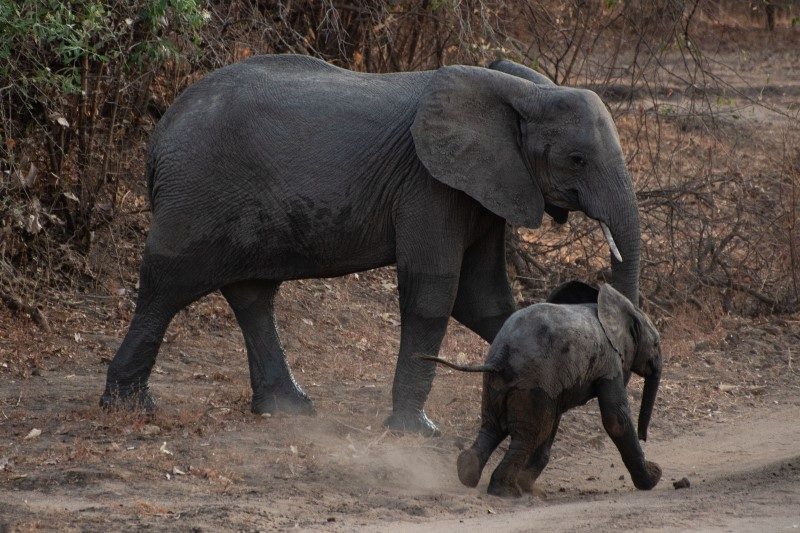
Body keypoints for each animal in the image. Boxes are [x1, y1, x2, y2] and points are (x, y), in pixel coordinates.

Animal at [100, 55, 640, 436]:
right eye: (577, 159)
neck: (523, 91)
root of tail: (158, 137)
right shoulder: (428, 184)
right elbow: (434, 293)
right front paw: (414, 433)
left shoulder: (485, 189)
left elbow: (482, 299)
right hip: (196, 195)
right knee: (166, 287)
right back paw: (129, 408)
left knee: (252, 293)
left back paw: (288, 410)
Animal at [424, 280, 664, 496]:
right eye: (656, 344)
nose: (644, 436)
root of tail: (502, 354)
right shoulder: (609, 363)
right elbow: (616, 419)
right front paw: (653, 478)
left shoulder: (557, 384)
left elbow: (555, 420)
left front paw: (527, 482)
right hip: (532, 384)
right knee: (528, 437)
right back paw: (506, 491)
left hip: (500, 384)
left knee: (493, 427)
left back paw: (469, 473)